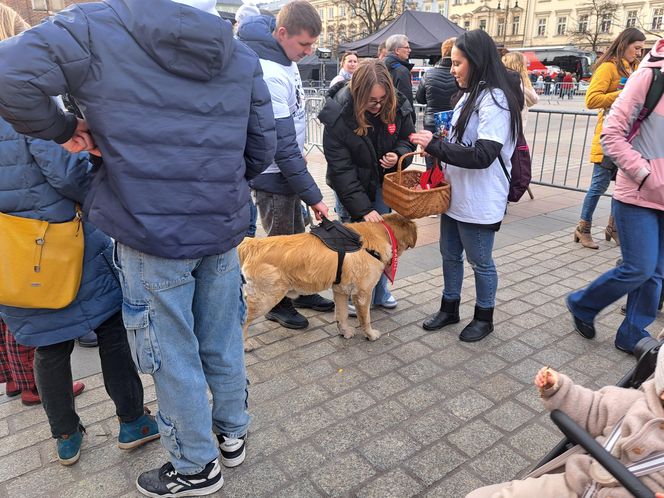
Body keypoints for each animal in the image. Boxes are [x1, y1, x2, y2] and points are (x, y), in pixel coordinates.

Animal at [237, 214, 416, 350]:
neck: (381, 232)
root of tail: (252, 243)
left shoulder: (341, 290)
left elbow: (342, 314)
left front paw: (345, 332)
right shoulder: (363, 293)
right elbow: (365, 319)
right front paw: (370, 334)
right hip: (267, 296)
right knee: (241, 322)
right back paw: (244, 345)